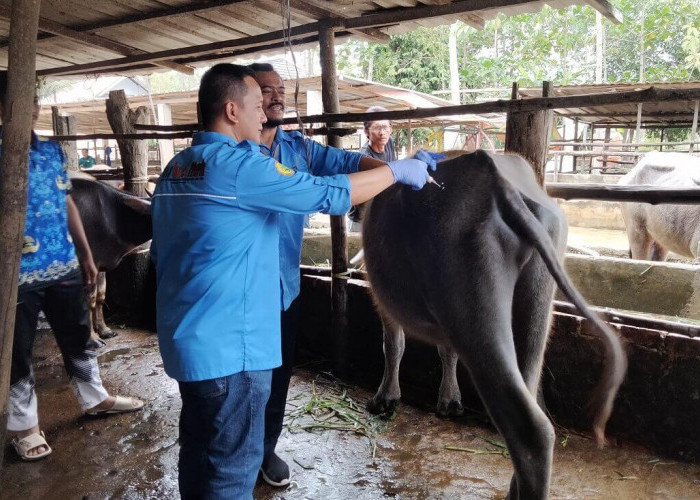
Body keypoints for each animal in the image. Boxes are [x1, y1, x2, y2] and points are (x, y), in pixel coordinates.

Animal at [69, 176, 152, 344]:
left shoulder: (100, 264)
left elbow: (101, 296)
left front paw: (105, 330)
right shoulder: (87, 266)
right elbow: (89, 300)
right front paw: (93, 338)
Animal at [364, 150, 628, 500]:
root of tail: (499, 181)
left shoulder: (383, 299)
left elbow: (393, 344)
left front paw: (385, 398)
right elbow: (446, 352)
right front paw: (449, 401)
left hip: (473, 303)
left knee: (530, 427)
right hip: (536, 291)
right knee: (529, 389)